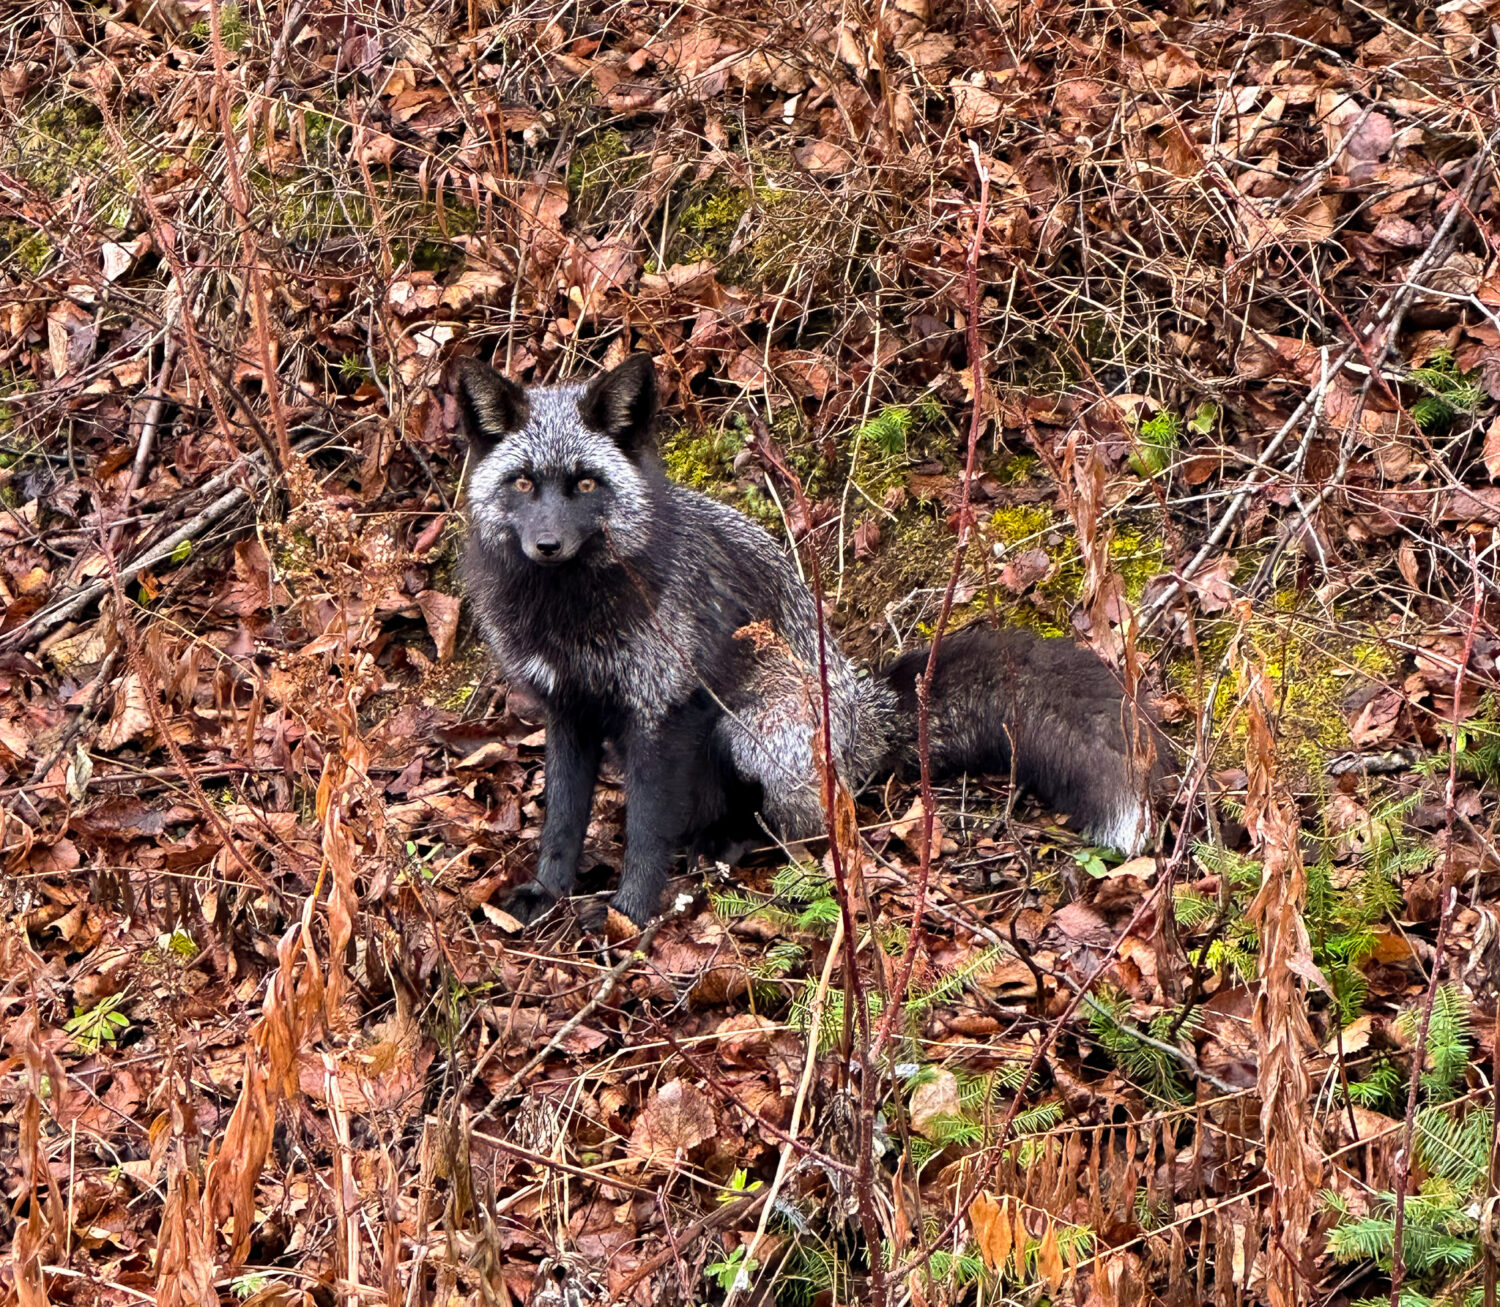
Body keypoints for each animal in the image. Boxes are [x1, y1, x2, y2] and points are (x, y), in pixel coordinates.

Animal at [457, 352, 1162, 926]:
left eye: (584, 483)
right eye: (523, 483)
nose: (548, 545)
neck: (571, 614)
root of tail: (869, 713)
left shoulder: (661, 711)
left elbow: (647, 833)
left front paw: (628, 915)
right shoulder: (567, 711)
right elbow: (560, 820)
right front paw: (548, 893)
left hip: (749, 733)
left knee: (797, 829)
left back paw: (733, 850)